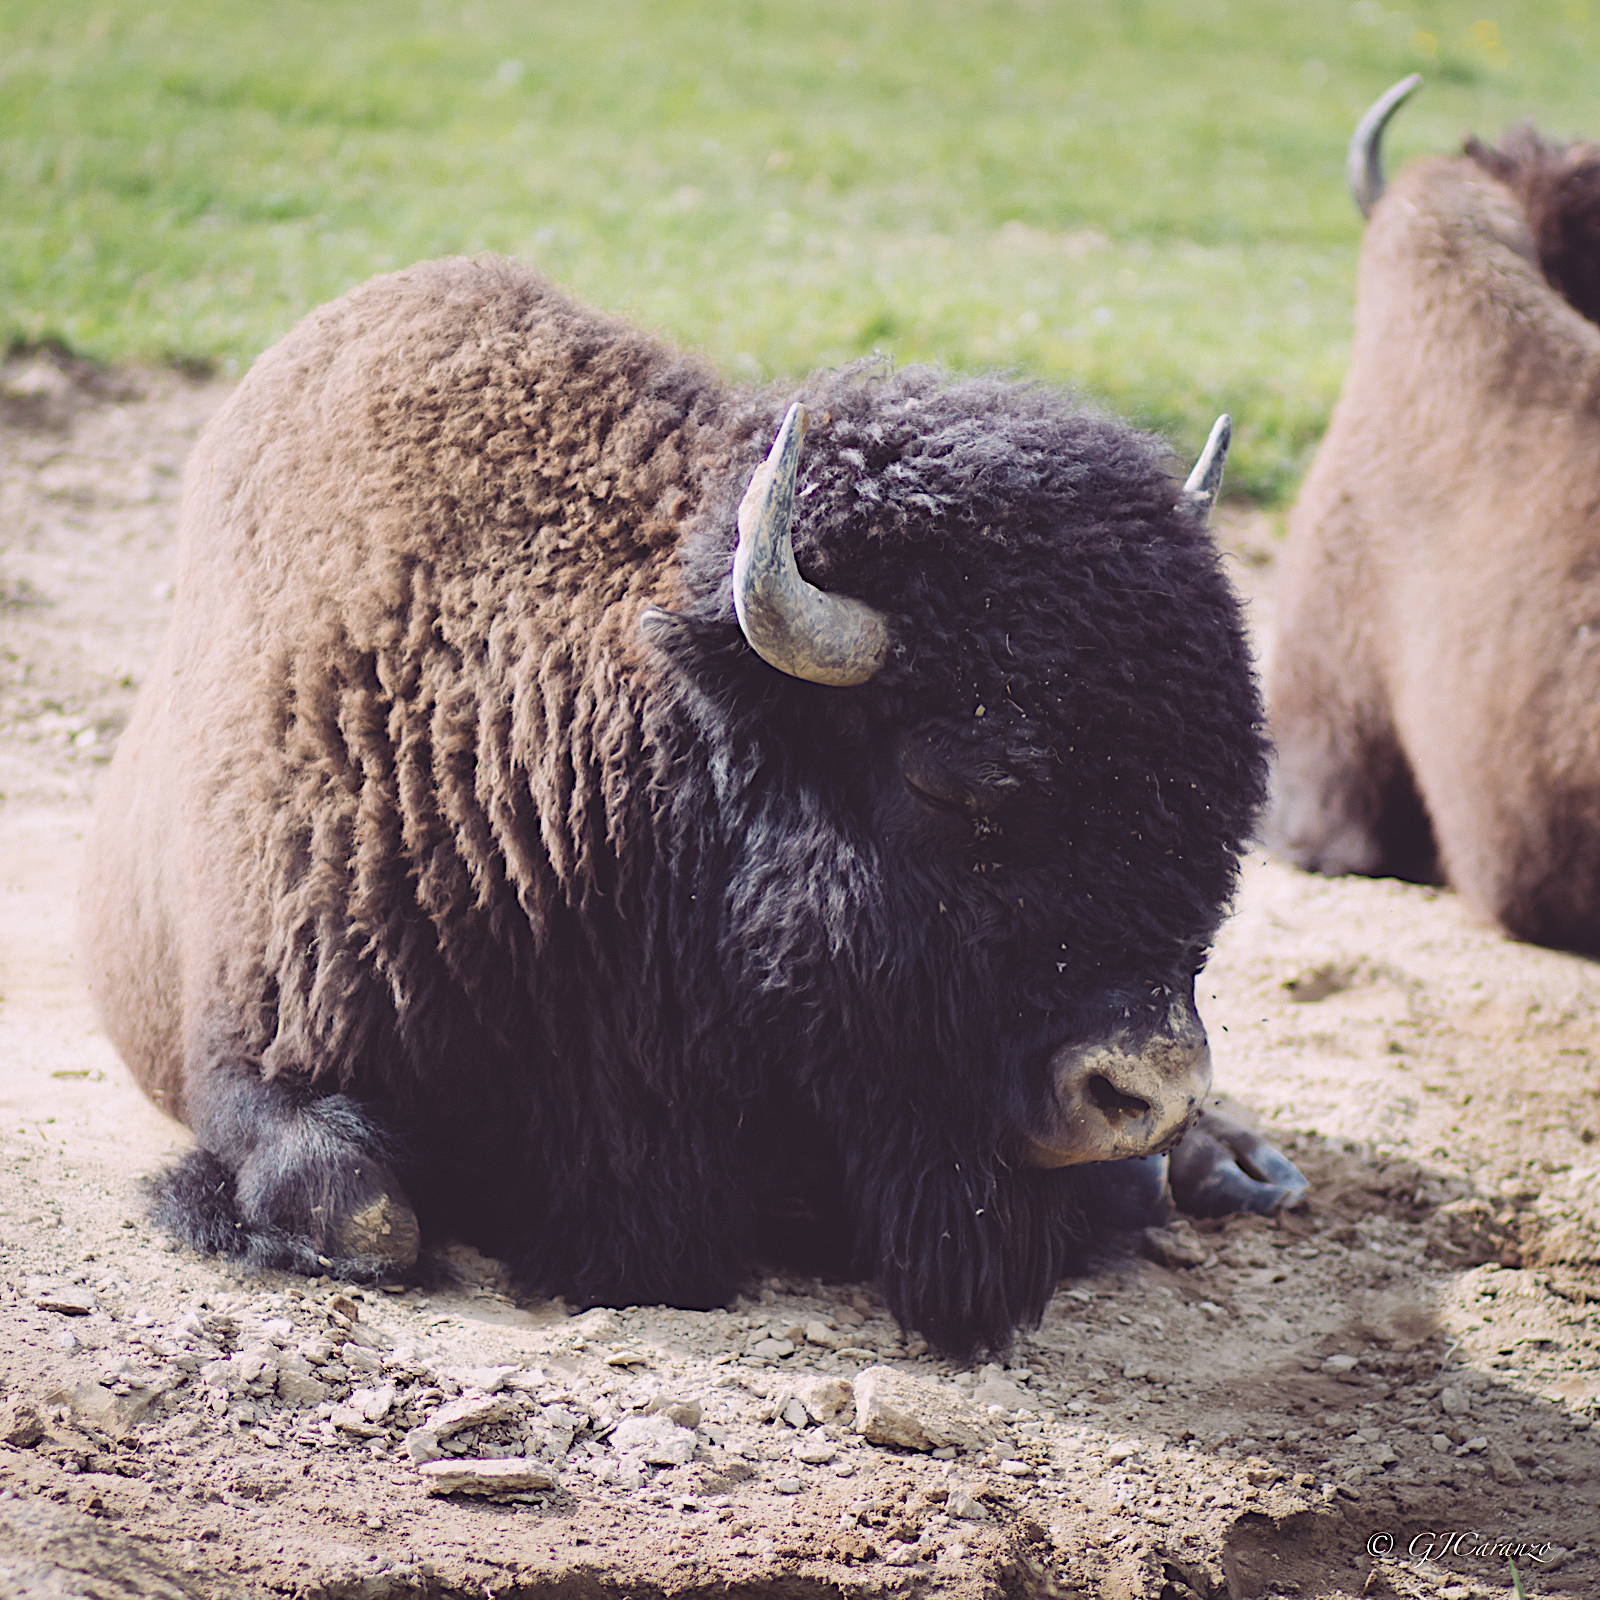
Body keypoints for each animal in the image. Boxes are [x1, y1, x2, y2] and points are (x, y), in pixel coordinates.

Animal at [81, 256, 1299, 1356]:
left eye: (1231, 793)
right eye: (945, 780)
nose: (1145, 1088)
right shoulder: (256, 1052)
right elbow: (364, 1212)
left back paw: (1247, 1165)